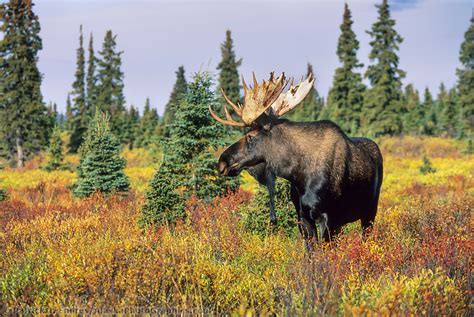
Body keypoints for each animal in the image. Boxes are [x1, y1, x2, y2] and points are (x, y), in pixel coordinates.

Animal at [209, 72, 384, 244]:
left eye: (250, 136)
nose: (222, 162)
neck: (296, 174)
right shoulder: (303, 216)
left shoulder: (329, 217)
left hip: (370, 212)